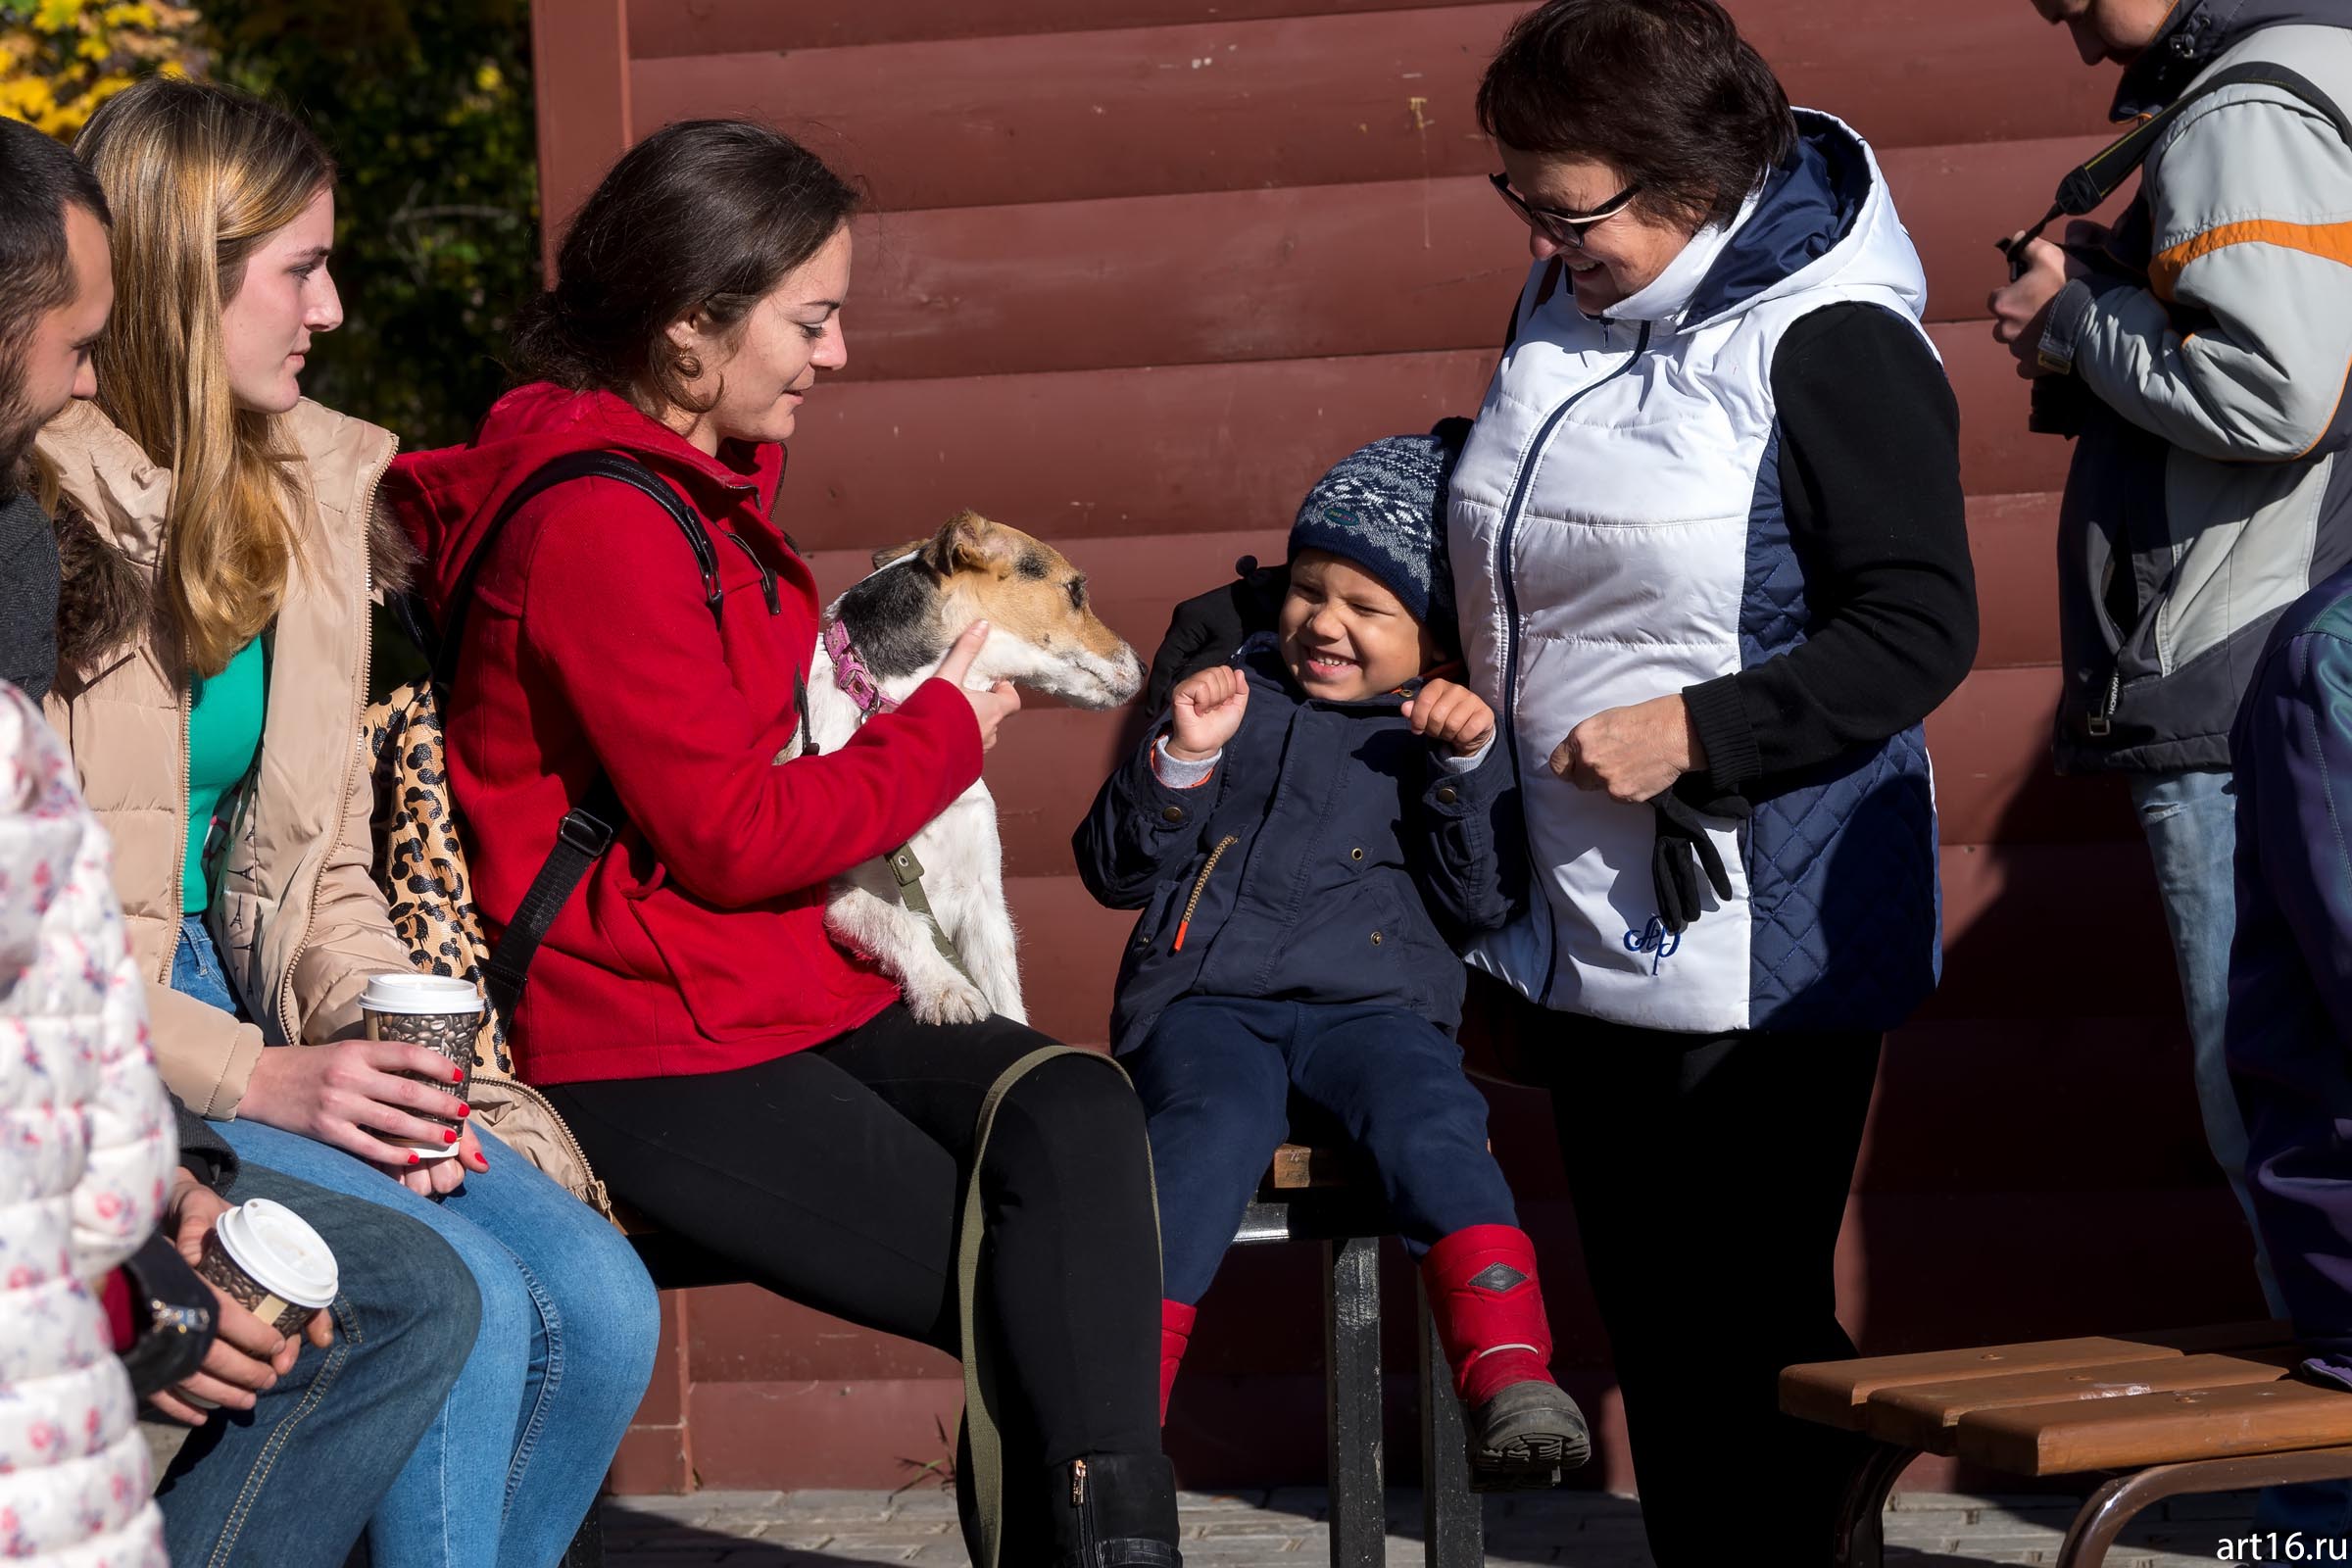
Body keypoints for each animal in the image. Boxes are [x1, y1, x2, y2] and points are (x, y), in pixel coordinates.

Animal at [804, 512, 1143, 1029]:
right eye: (1075, 591)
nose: (1143, 666)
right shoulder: (840, 896)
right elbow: (902, 923)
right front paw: (945, 988)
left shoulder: (984, 896)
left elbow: (1006, 993)